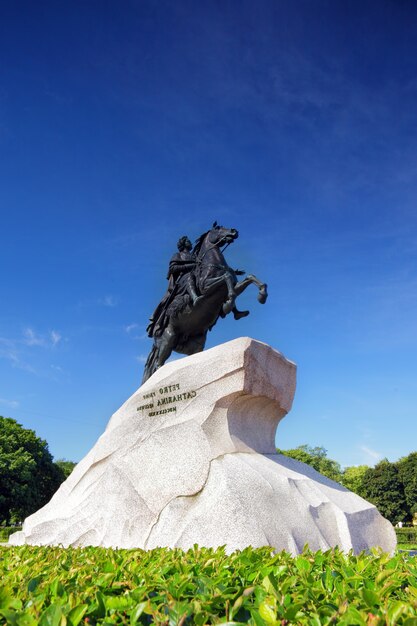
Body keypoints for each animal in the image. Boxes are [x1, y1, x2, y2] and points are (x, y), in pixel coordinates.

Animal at [143, 223, 266, 380]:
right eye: (218, 228)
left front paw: (262, 295)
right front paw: (227, 304)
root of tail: (155, 337)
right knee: (159, 365)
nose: (234, 231)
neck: (214, 264)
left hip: (195, 345)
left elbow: (249, 278)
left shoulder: (234, 285)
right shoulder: (207, 288)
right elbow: (226, 278)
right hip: (168, 339)